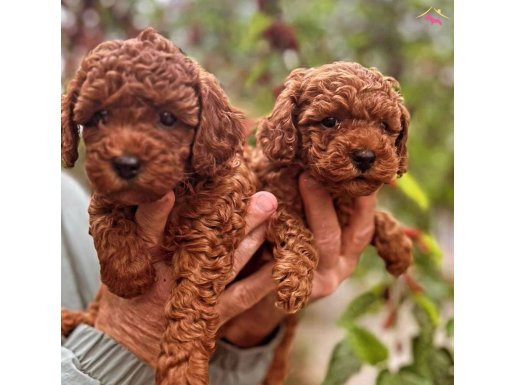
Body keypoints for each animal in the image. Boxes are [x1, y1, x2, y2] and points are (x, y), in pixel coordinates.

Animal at [61, 28, 255, 384]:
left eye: (167, 118)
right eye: (99, 116)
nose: (125, 164)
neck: (176, 186)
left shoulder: (212, 225)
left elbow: (190, 304)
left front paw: (183, 370)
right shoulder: (108, 193)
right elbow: (105, 219)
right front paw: (129, 275)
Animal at [254, 61, 416, 316]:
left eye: (383, 125)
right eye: (329, 122)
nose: (365, 157)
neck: (332, 189)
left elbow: (379, 217)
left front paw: (398, 246)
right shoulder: (273, 199)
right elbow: (296, 230)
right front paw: (295, 281)